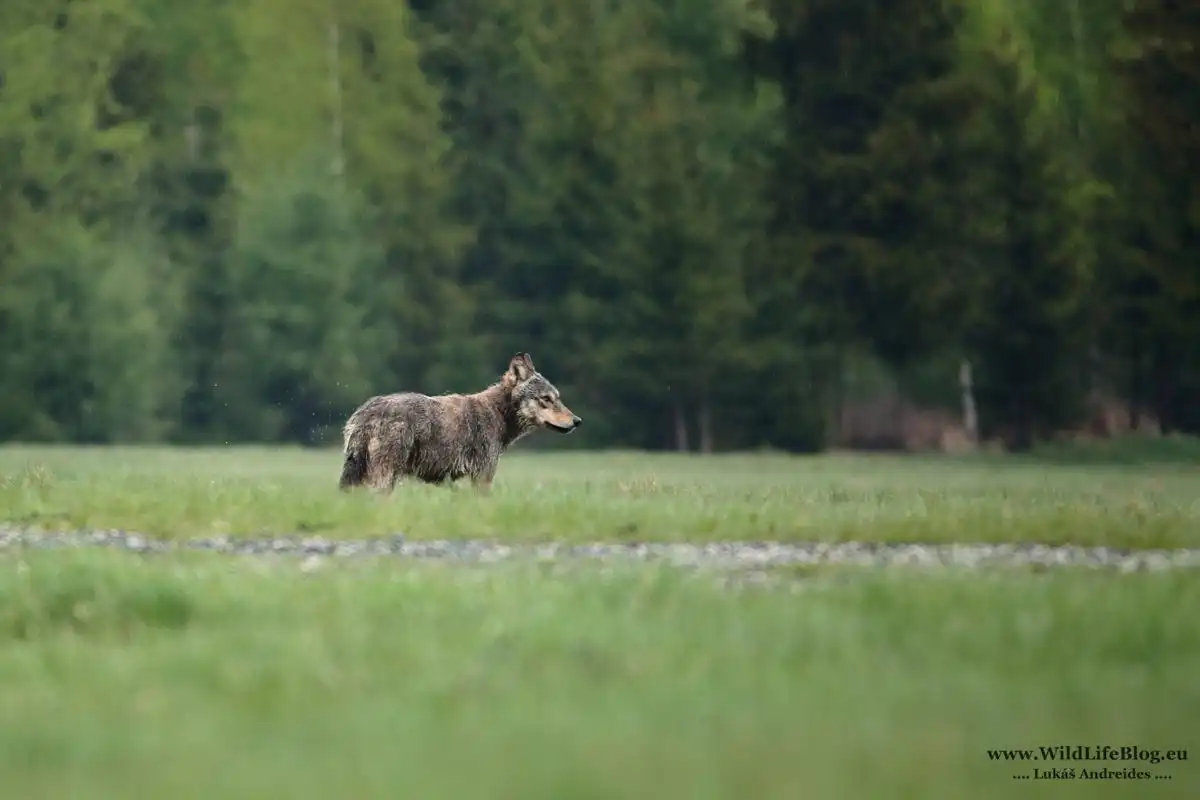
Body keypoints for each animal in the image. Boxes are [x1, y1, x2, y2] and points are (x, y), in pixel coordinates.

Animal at [338, 352, 581, 492]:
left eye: (557, 398)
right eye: (546, 399)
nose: (578, 421)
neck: (497, 413)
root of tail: (366, 413)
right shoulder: (483, 477)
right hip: (384, 478)